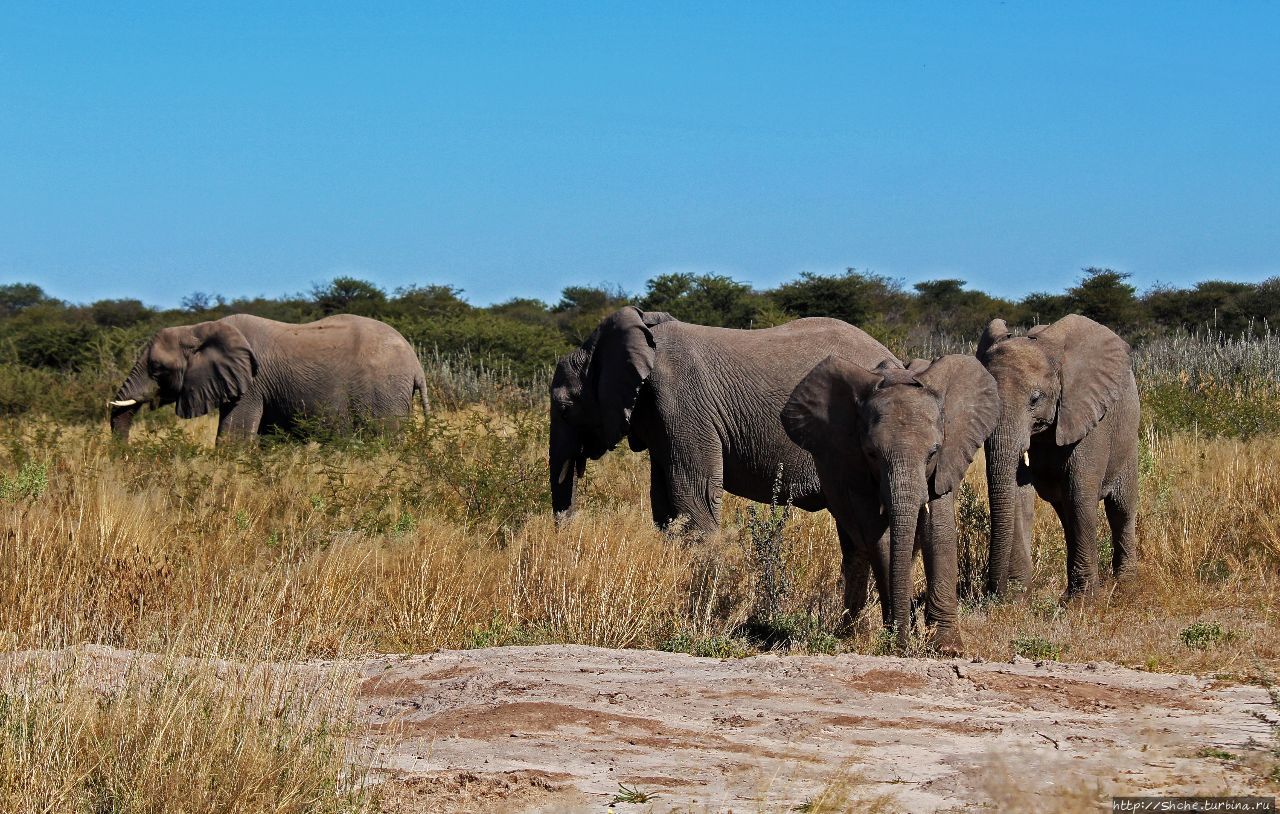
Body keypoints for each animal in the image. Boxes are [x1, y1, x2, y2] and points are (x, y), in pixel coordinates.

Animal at [108, 311, 427, 442]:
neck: (199, 328)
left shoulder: (252, 383)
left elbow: (233, 437)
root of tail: (416, 365)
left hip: (383, 391)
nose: (125, 456)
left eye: (157, 368)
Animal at [778, 353, 998, 652]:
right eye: (872, 453)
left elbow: (938, 532)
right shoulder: (855, 465)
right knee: (857, 548)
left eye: (933, 453)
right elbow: (880, 539)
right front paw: (898, 639)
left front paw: (948, 648)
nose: (902, 642)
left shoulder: (946, 462)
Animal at [972, 314, 1146, 593]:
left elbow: (1079, 491)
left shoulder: (1089, 415)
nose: (993, 592)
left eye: (1035, 399)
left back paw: (1125, 583)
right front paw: (1017, 596)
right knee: (1065, 512)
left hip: (1128, 439)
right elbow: (1019, 495)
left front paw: (1085, 599)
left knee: (1120, 508)